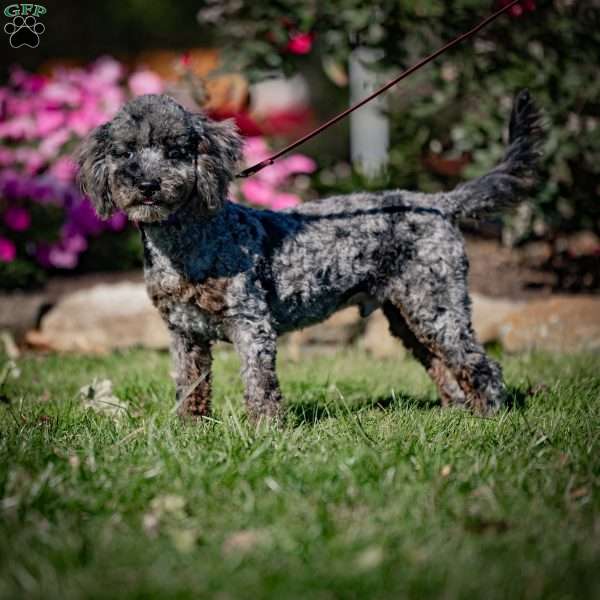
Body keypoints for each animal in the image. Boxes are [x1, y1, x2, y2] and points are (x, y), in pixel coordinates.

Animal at [77, 90, 540, 422]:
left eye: (176, 150)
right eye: (125, 151)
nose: (147, 185)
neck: (189, 244)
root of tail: (439, 203)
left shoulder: (252, 325)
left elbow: (259, 385)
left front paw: (264, 431)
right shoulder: (183, 333)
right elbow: (190, 386)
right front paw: (190, 430)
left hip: (436, 306)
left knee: (480, 366)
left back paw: (490, 417)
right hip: (406, 315)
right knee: (445, 367)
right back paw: (456, 415)